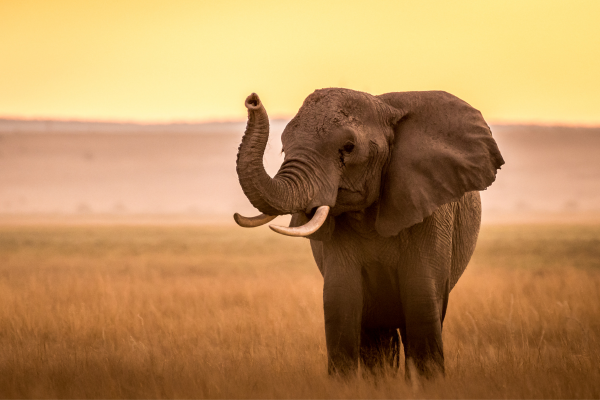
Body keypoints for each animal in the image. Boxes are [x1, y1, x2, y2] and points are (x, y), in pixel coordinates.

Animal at [232, 87, 504, 378]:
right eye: (283, 147)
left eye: (349, 148)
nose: (252, 99)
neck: (386, 108)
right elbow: (340, 297)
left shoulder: (431, 208)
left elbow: (421, 297)